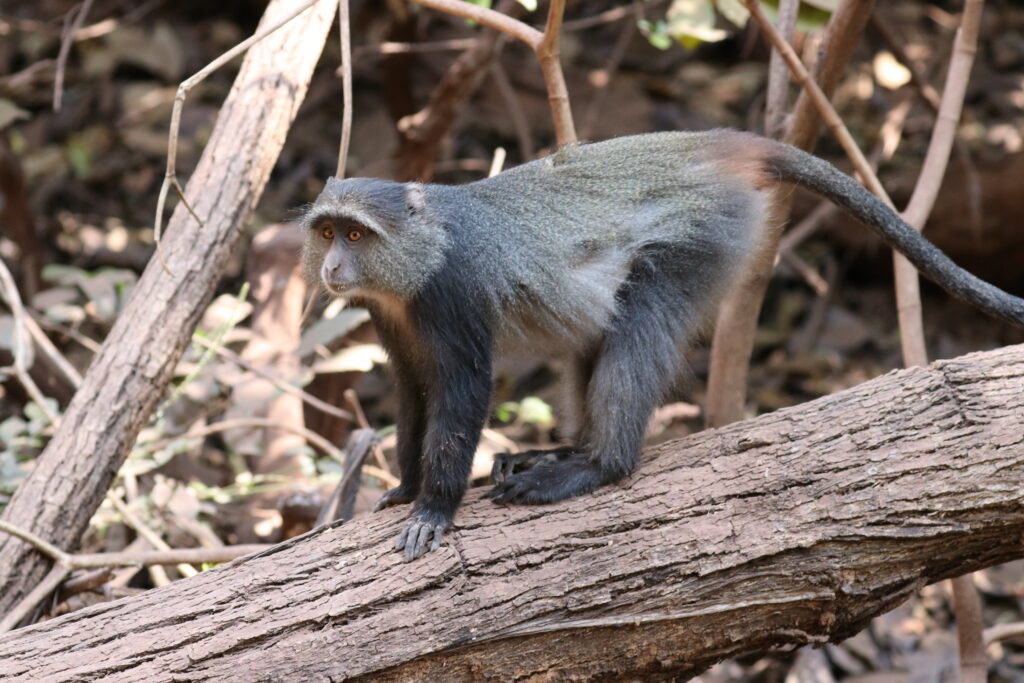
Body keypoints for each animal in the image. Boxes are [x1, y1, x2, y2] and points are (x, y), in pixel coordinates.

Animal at [301, 129, 1024, 561]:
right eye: (329, 232)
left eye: (357, 236)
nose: (332, 267)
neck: (419, 251)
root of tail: (704, 143)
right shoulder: (394, 317)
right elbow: (412, 390)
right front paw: (405, 487)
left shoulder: (451, 295)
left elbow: (463, 390)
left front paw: (435, 506)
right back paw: (569, 450)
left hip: (706, 234)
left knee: (639, 317)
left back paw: (597, 464)